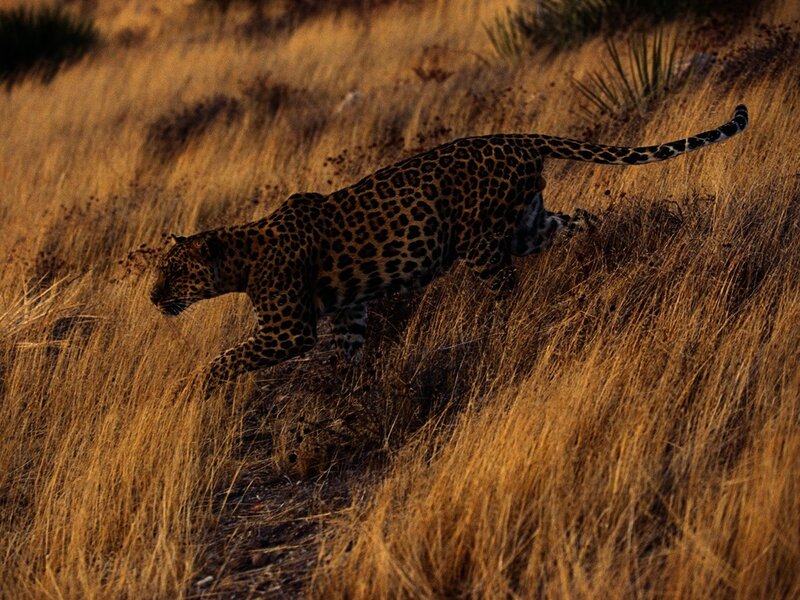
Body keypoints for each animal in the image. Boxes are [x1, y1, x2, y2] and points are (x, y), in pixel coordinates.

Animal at [150, 104, 748, 386]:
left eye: (173, 273)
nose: (154, 298)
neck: (241, 257)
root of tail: (518, 138)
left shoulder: (287, 329)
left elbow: (228, 359)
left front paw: (195, 389)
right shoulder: (349, 311)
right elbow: (347, 351)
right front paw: (345, 391)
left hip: (480, 245)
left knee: (507, 290)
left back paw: (504, 330)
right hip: (529, 225)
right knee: (582, 220)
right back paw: (607, 253)